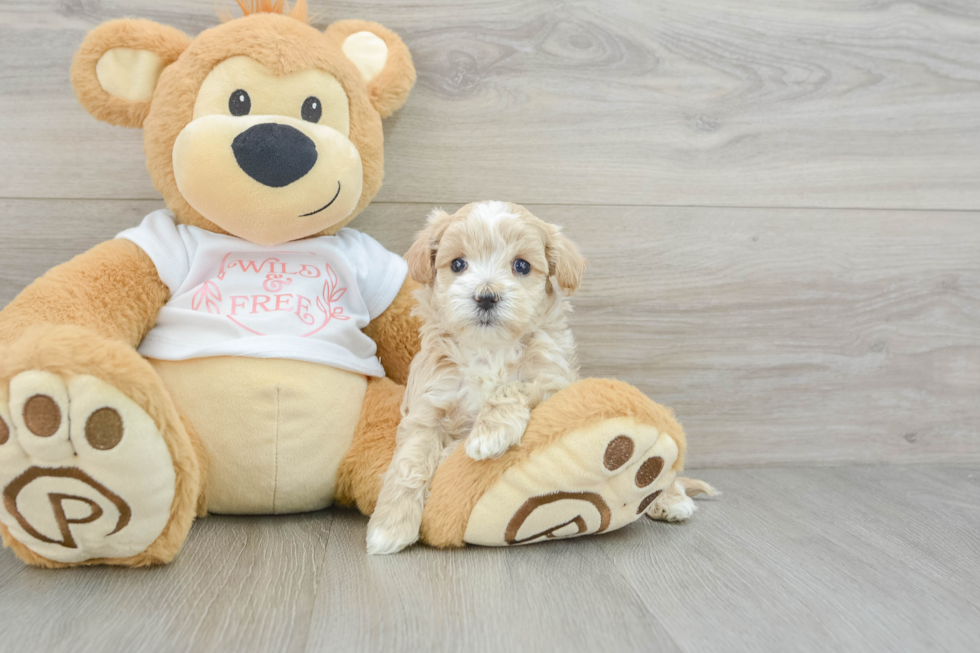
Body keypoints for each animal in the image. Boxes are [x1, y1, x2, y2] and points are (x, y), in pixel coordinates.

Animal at [366, 201, 580, 552]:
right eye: (458, 264)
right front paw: (389, 528)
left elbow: (514, 387)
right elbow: (409, 463)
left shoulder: (553, 380)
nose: (486, 296)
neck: (487, 348)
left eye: (522, 265)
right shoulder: (429, 402)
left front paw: (487, 436)